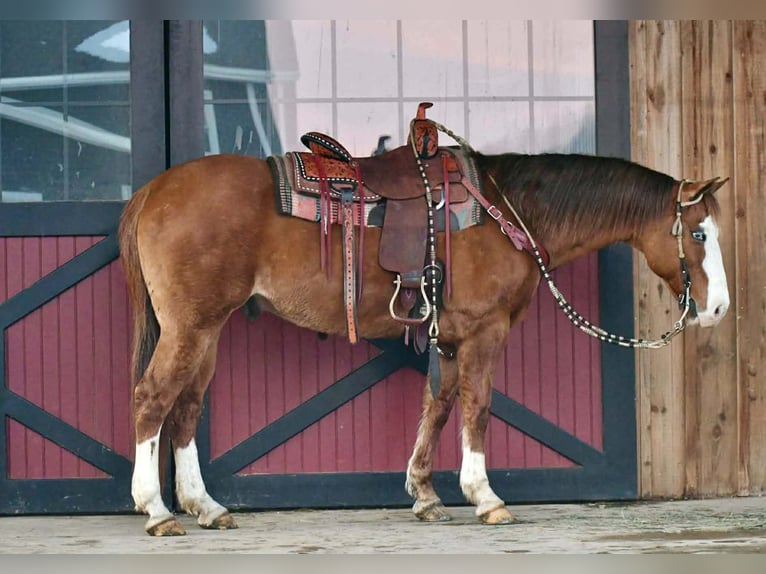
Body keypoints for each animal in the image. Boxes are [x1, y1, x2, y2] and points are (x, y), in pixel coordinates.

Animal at [118, 133, 730, 536]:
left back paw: (206, 507)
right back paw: (157, 509)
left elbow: (436, 405)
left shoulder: (449, 337)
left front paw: (425, 494)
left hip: (206, 329)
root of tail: (153, 191)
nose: (719, 308)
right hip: (191, 326)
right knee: (152, 398)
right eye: (699, 233)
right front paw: (485, 496)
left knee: (186, 407)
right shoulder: (484, 331)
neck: (509, 211)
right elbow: (476, 406)